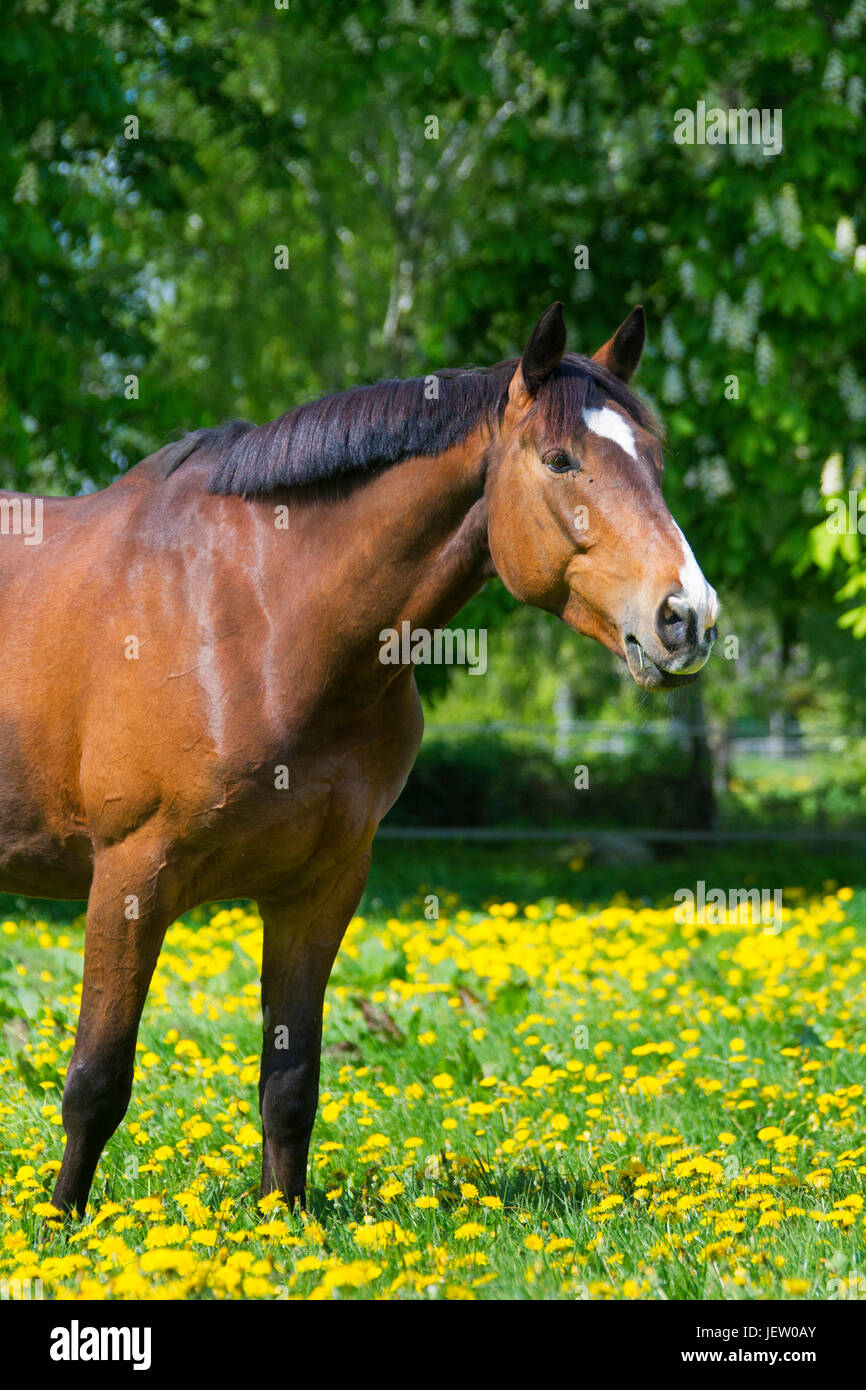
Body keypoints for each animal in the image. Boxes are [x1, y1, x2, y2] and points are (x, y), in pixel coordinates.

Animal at [0, 302, 718, 1216]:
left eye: (654, 460)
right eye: (560, 459)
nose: (687, 617)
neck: (254, 616)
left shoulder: (320, 887)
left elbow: (290, 1080)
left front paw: (282, 1223)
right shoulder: (130, 877)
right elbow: (96, 1079)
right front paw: (63, 1226)